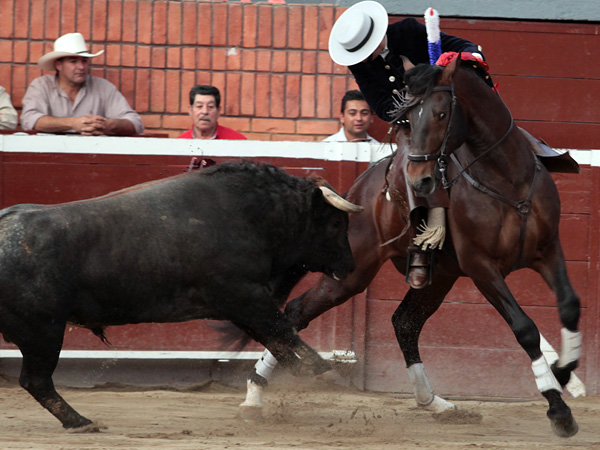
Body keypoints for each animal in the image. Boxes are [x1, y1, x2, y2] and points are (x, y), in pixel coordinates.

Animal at [0, 161, 360, 428]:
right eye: (335, 223)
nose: (350, 265)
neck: (254, 214)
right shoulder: (245, 296)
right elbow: (283, 331)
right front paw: (324, 371)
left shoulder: (240, 305)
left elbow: (278, 338)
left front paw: (304, 371)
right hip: (43, 332)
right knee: (36, 380)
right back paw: (80, 422)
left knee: (35, 381)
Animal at [240, 54, 580, 438]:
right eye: (409, 118)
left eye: (442, 114)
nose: (421, 180)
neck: (507, 181)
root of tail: (359, 187)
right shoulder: (482, 268)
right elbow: (524, 328)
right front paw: (557, 408)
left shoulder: (549, 250)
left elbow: (569, 305)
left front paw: (564, 371)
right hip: (352, 273)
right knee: (298, 310)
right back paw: (254, 393)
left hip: (439, 276)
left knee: (404, 323)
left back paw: (435, 403)